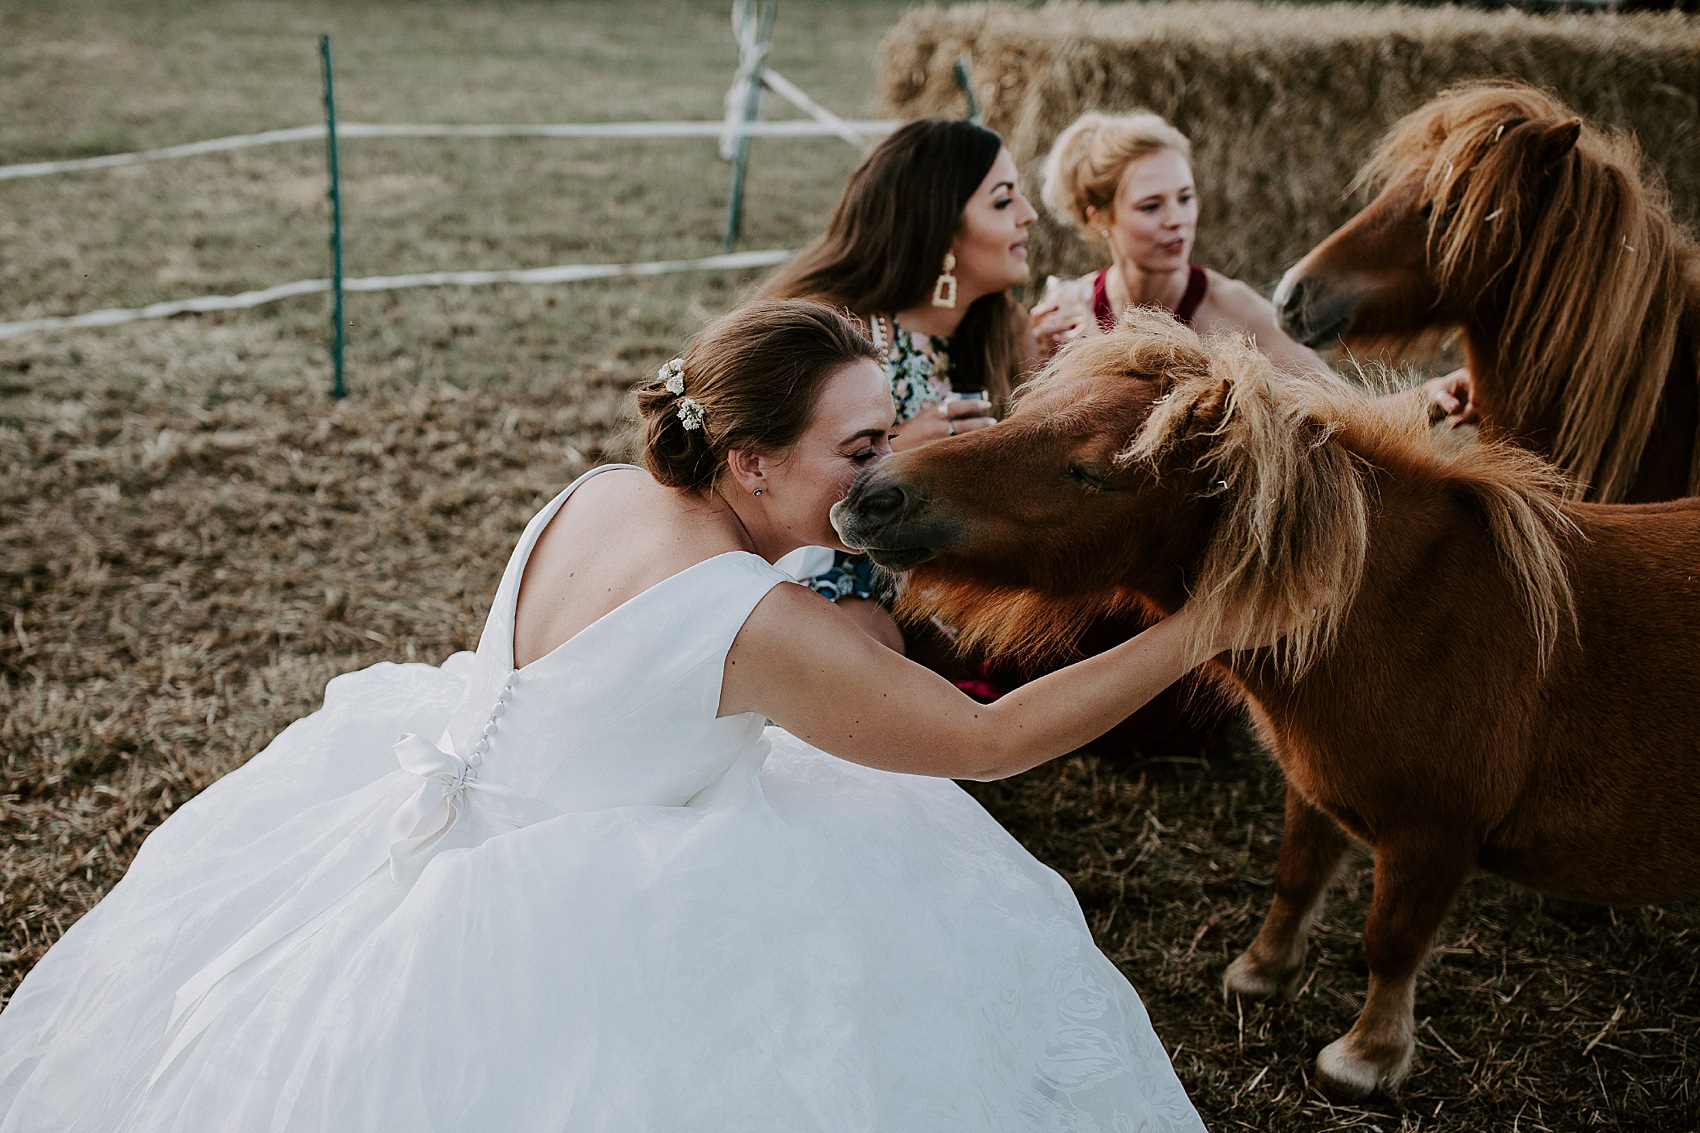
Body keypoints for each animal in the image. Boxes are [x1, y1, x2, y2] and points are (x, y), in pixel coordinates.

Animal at [833, 311, 1700, 1095]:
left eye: (1090, 471)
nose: (873, 496)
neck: (1414, 611)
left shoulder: (1432, 835)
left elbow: (1391, 939)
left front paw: (1365, 1057)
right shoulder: (1316, 792)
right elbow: (1295, 878)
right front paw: (1260, 972)